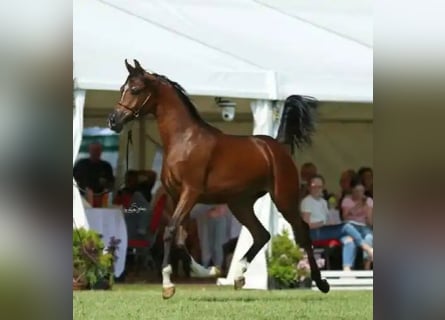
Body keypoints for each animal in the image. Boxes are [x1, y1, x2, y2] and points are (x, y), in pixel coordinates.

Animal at [108, 59, 330, 298]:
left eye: (135, 89)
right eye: (122, 89)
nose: (113, 121)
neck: (184, 140)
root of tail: (277, 146)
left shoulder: (190, 192)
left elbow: (170, 231)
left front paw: (167, 284)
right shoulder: (177, 196)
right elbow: (181, 238)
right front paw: (205, 271)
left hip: (283, 199)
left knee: (302, 232)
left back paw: (321, 282)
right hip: (240, 204)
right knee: (262, 234)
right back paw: (239, 276)